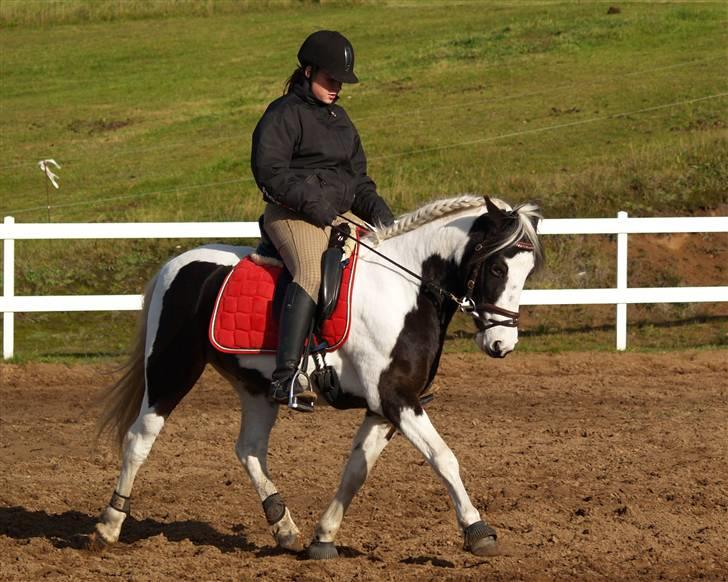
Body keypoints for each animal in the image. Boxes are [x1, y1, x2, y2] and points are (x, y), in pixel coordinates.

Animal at [89, 195, 543, 559]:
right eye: (497, 268)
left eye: (529, 271)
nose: (502, 343)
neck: (405, 290)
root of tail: (177, 263)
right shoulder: (397, 398)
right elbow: (444, 457)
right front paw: (478, 531)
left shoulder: (383, 407)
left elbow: (356, 471)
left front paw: (323, 538)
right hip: (171, 370)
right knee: (139, 438)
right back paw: (109, 524)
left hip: (257, 387)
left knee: (249, 448)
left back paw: (283, 526)